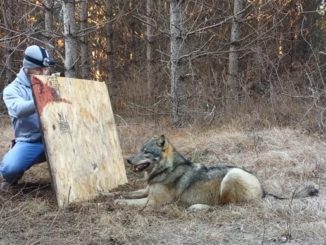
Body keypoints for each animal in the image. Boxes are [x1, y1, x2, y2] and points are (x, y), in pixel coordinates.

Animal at [113, 135, 318, 208]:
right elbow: (128, 194)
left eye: (146, 152)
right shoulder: (146, 190)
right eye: (139, 150)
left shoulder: (154, 202)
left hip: (230, 177)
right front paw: (113, 195)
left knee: (222, 205)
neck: (165, 169)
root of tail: (263, 189)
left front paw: (116, 203)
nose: (128, 160)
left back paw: (198, 207)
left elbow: (130, 203)